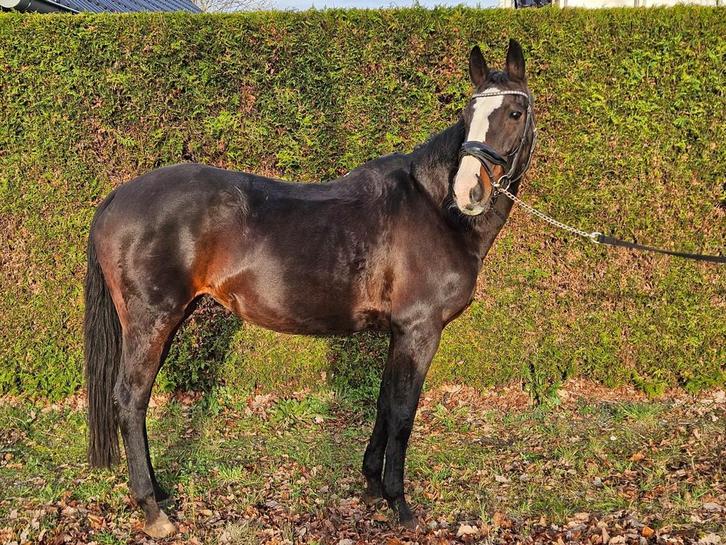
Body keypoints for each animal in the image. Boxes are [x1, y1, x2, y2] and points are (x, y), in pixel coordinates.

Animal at [84, 39, 536, 537]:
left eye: (514, 111)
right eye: (468, 112)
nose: (468, 191)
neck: (433, 209)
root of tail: (116, 197)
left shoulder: (399, 333)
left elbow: (383, 403)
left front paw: (372, 486)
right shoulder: (420, 331)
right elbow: (403, 413)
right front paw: (399, 504)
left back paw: (160, 493)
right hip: (152, 322)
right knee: (131, 399)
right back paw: (152, 510)